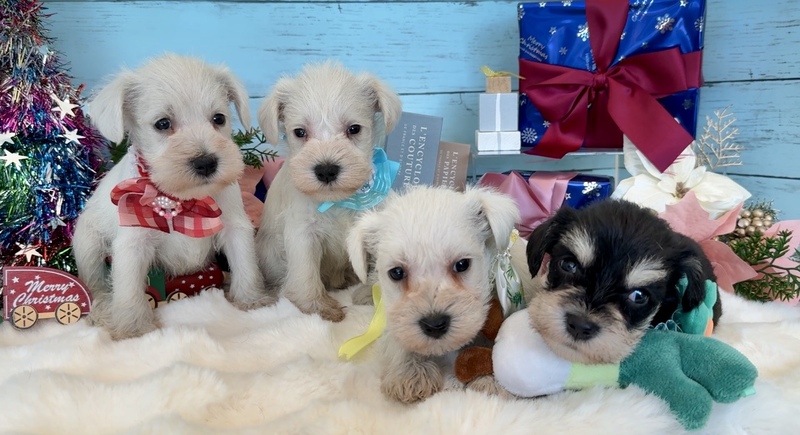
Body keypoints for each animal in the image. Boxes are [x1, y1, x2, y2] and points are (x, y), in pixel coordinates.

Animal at [73, 54, 274, 340]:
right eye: (163, 124)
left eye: (218, 118)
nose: (206, 163)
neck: (181, 199)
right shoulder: (133, 242)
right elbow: (128, 287)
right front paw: (133, 329)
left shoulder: (235, 228)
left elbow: (245, 263)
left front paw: (251, 300)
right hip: (87, 242)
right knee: (96, 283)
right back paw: (102, 309)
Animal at [255, 60, 402, 322]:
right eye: (299, 132)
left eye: (354, 128)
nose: (326, 170)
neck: (339, 200)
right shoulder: (303, 232)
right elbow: (305, 270)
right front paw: (316, 306)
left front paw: (372, 292)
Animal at [347, 186, 520, 403]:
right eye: (397, 272)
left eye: (462, 264)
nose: (434, 325)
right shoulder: (392, 316)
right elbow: (397, 337)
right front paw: (410, 371)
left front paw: (491, 379)